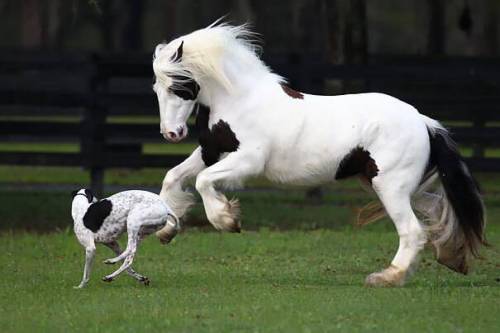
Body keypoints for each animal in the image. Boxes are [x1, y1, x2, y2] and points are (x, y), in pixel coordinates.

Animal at [151, 22, 484, 286]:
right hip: (390, 185)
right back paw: (451, 257)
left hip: (391, 187)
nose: (171, 134)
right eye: (157, 89)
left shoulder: (248, 160)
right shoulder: (211, 151)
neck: (240, 100)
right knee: (436, 208)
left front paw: (227, 220)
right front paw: (167, 230)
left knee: (413, 231)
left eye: (177, 86)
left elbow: (203, 181)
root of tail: (423, 121)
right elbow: (173, 177)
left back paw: (387, 277)